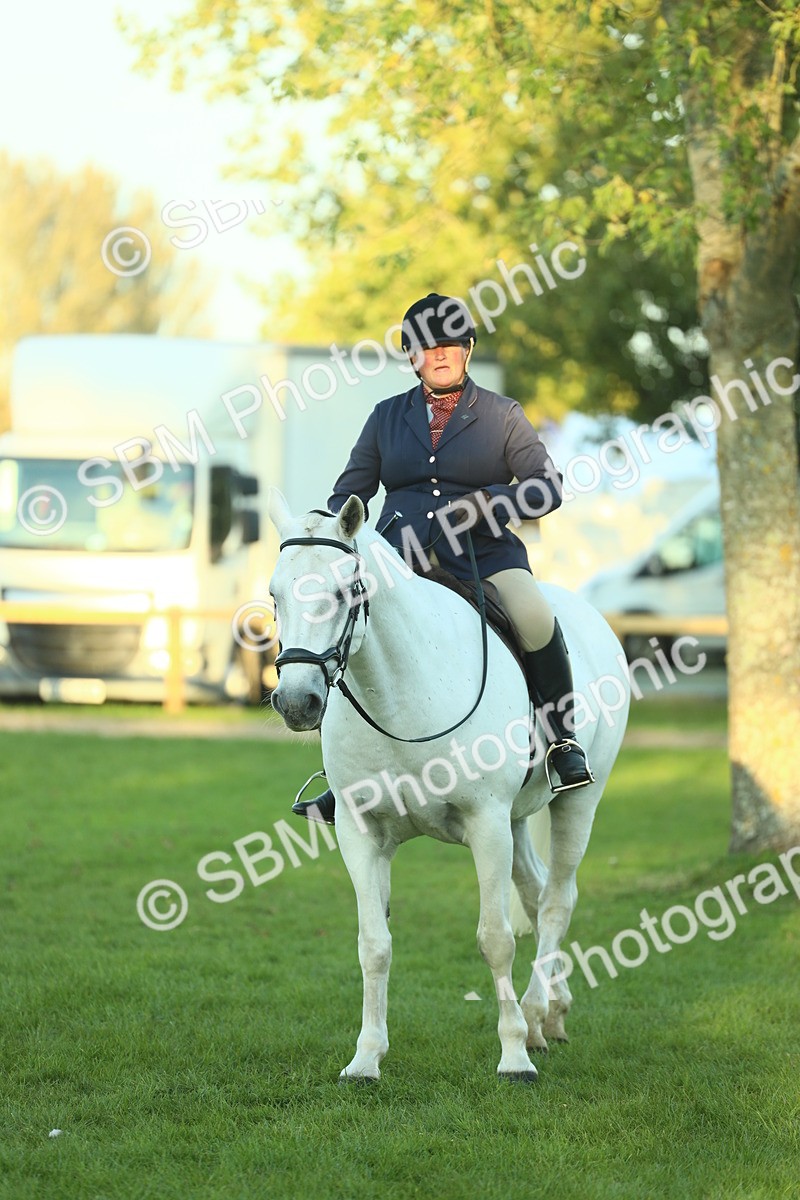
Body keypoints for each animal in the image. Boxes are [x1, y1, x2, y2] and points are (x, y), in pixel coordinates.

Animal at [268, 491, 630, 1082]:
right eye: (275, 596)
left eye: (347, 591)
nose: (297, 702)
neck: (399, 692)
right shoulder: (361, 831)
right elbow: (374, 944)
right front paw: (365, 1058)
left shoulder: (485, 824)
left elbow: (495, 940)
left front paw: (513, 1057)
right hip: (516, 819)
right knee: (535, 893)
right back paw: (551, 1013)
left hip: (577, 800)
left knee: (557, 901)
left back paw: (534, 1016)